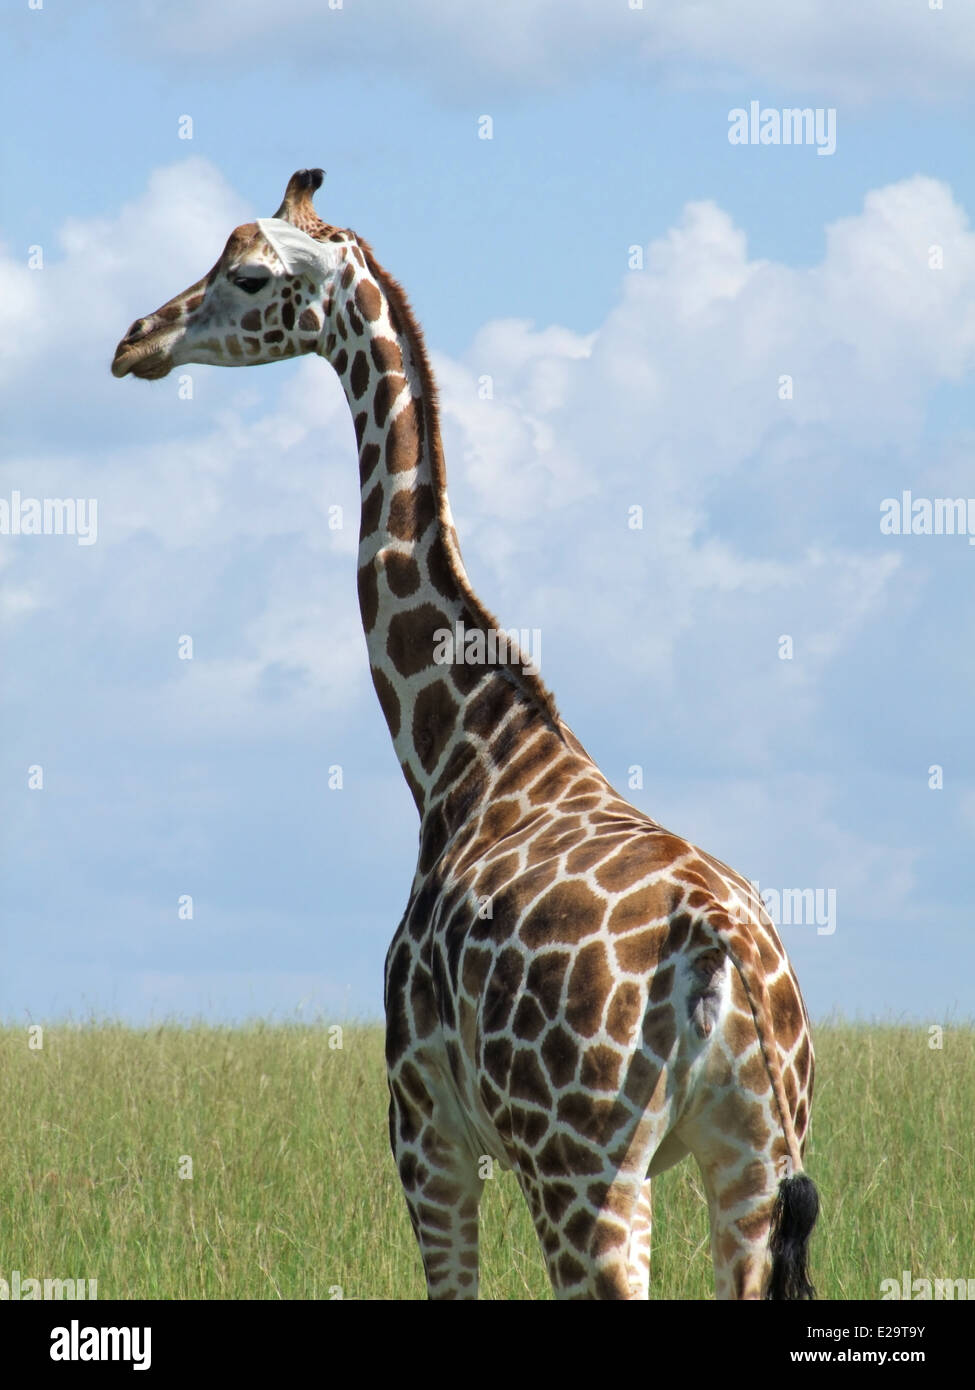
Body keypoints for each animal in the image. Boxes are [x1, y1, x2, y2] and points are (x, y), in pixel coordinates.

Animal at [112, 168, 819, 1301]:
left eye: (248, 274)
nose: (136, 339)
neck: (464, 755)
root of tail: (725, 950)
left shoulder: (424, 1126)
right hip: (753, 1159)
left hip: (583, 1165)